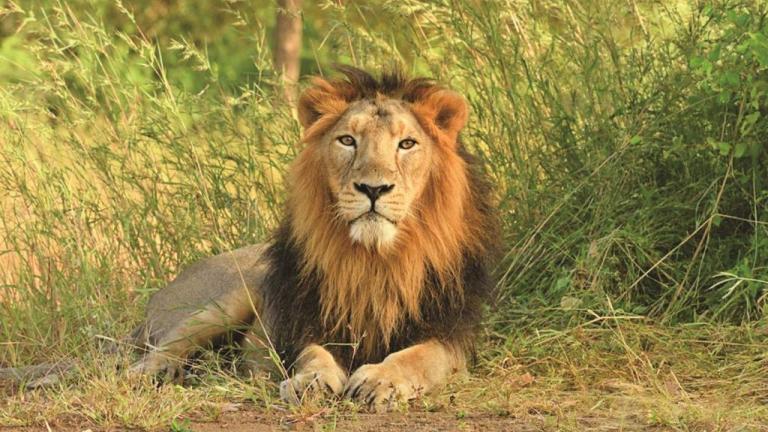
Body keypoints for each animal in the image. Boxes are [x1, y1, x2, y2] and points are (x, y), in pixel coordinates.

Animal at [127, 66, 500, 411]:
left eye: (407, 144)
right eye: (347, 140)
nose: (373, 189)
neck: (375, 259)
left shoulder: (451, 335)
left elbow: (418, 357)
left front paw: (380, 380)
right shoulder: (306, 322)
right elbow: (313, 354)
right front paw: (312, 381)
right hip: (227, 299)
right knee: (167, 346)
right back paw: (150, 373)